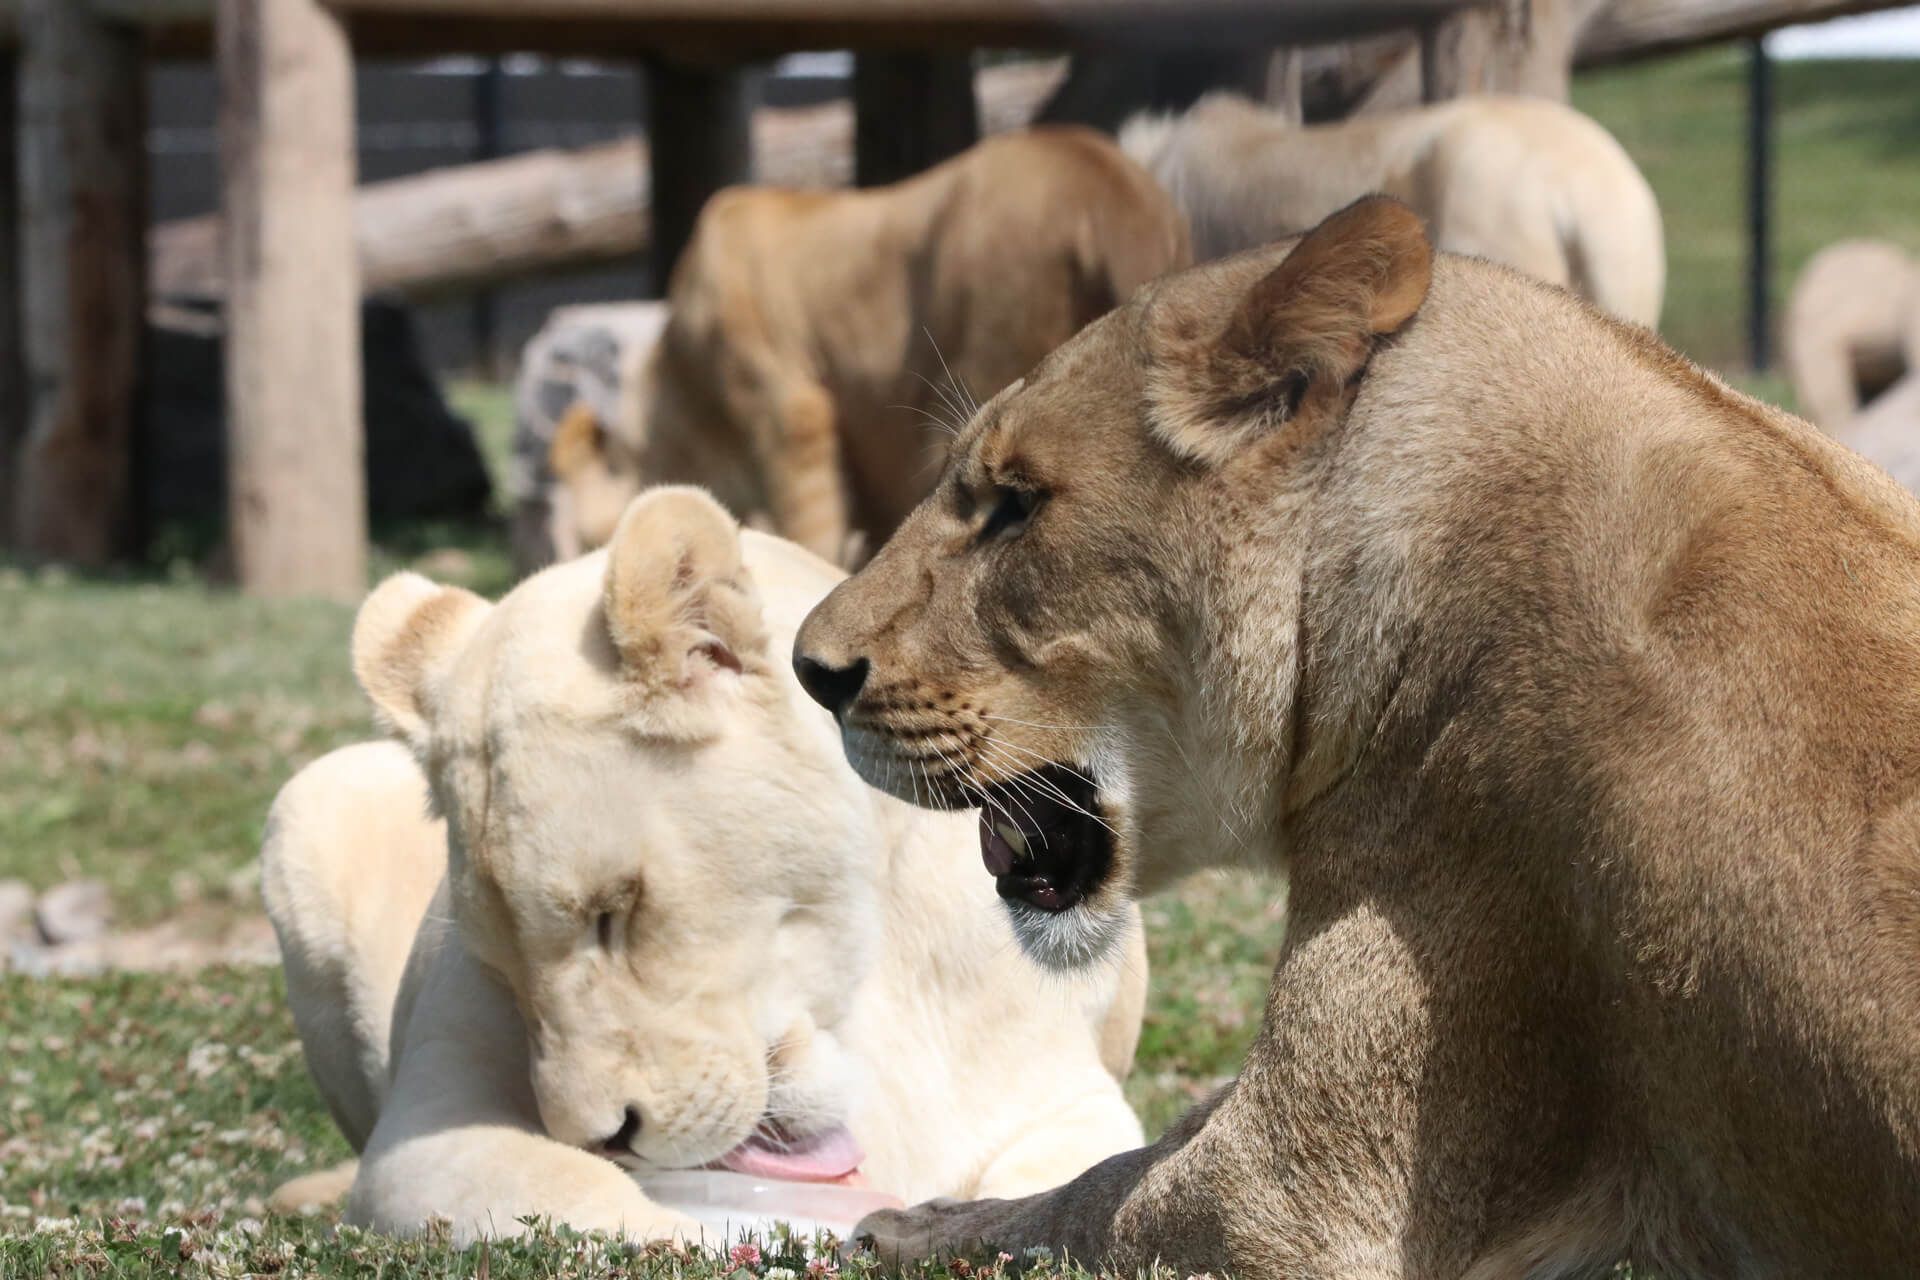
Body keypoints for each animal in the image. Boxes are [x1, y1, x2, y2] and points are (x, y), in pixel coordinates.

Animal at [260, 488, 1147, 1244]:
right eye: (501, 960)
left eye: (615, 913)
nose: (604, 1135)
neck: (864, 988)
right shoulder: (420, 1132)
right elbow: (583, 1202)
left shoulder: (1061, 1098)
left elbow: (1057, 1185)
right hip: (309, 799)